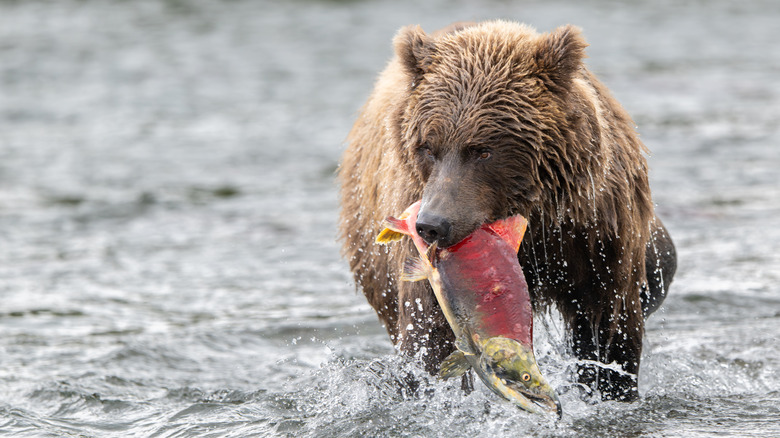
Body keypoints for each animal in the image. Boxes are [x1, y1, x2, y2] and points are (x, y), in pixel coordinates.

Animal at [338, 20, 676, 401]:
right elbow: (429, 335)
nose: (432, 224)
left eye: (482, 150)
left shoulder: (592, 235)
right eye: (427, 147)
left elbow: (608, 327)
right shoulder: (429, 266)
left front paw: (609, 387)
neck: (532, 218)